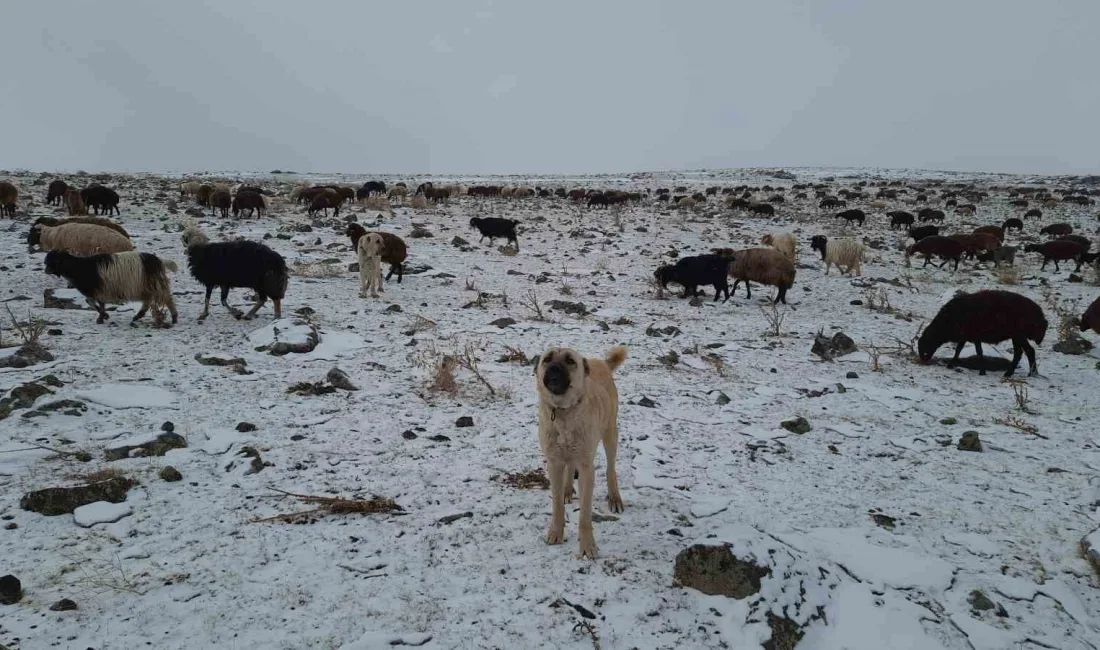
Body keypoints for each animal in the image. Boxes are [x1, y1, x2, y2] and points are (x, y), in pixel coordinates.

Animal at [42, 251, 176, 327]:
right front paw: (102, 317)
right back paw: (138, 316)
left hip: (154, 285)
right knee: (149, 302)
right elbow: (98, 303)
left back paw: (174, 317)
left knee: (167, 299)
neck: (79, 268)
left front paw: (104, 316)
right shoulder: (100, 290)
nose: (46, 270)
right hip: (147, 287)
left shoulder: (96, 289)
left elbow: (91, 302)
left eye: (53, 261)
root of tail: (159, 261)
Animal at [534, 345, 629, 558]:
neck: (563, 412)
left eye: (570, 360)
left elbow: (585, 514)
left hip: (610, 434)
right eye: (547, 359)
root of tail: (601, 362)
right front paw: (556, 533)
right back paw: (568, 489)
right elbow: (557, 505)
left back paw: (615, 498)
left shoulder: (586, 467)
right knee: (570, 466)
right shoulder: (554, 462)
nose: (554, 368)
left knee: (611, 469)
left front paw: (587, 546)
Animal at [919, 288, 1047, 376]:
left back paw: (1013, 373)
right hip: (1017, 337)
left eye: (925, 343)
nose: (922, 361)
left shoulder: (975, 336)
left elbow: (979, 352)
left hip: (1018, 335)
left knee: (1024, 352)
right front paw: (950, 365)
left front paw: (982, 371)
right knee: (1025, 352)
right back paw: (1030, 373)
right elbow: (958, 350)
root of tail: (1040, 315)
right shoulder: (965, 336)